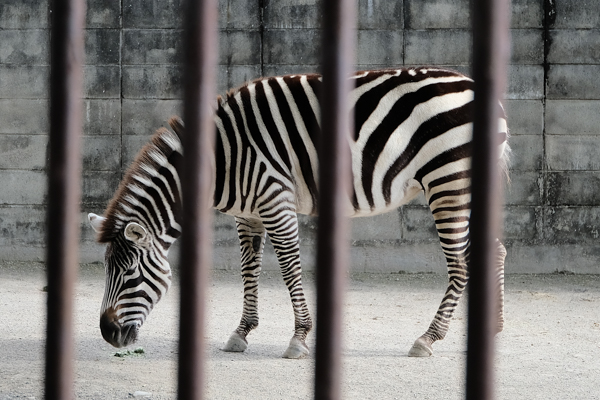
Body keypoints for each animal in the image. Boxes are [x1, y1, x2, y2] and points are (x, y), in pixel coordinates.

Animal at [89, 67, 508, 358]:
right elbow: (249, 270)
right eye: (106, 270)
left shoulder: (275, 199)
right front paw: (242, 332)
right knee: (496, 250)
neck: (223, 159)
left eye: (130, 274)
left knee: (460, 264)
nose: (107, 334)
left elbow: (290, 266)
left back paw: (428, 339)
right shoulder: (248, 213)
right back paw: (493, 327)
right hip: (467, 187)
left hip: (448, 181)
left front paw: (299, 338)